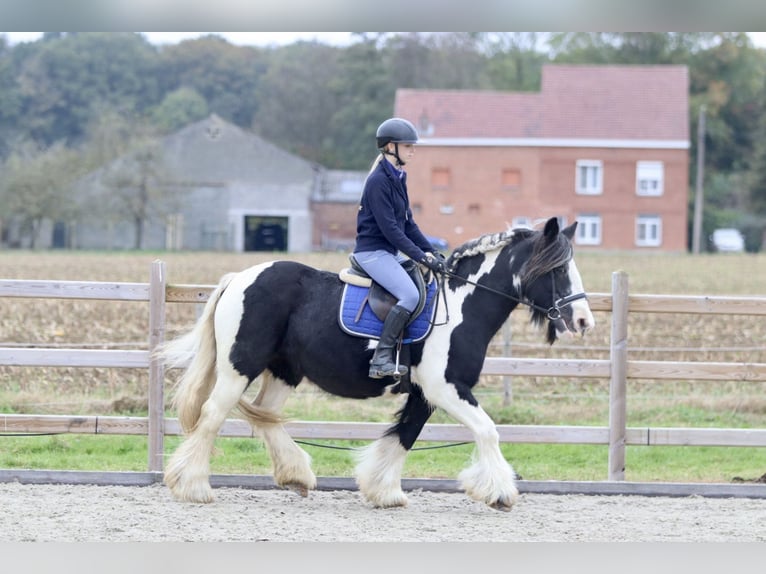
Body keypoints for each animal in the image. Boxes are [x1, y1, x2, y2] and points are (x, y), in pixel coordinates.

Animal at [160, 217, 592, 512]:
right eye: (557, 270)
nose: (585, 321)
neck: (462, 305)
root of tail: (239, 278)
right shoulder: (445, 387)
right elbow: (487, 431)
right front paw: (499, 492)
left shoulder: (424, 394)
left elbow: (404, 436)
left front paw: (382, 491)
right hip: (240, 367)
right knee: (213, 416)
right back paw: (193, 486)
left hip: (284, 371)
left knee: (265, 416)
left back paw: (295, 474)